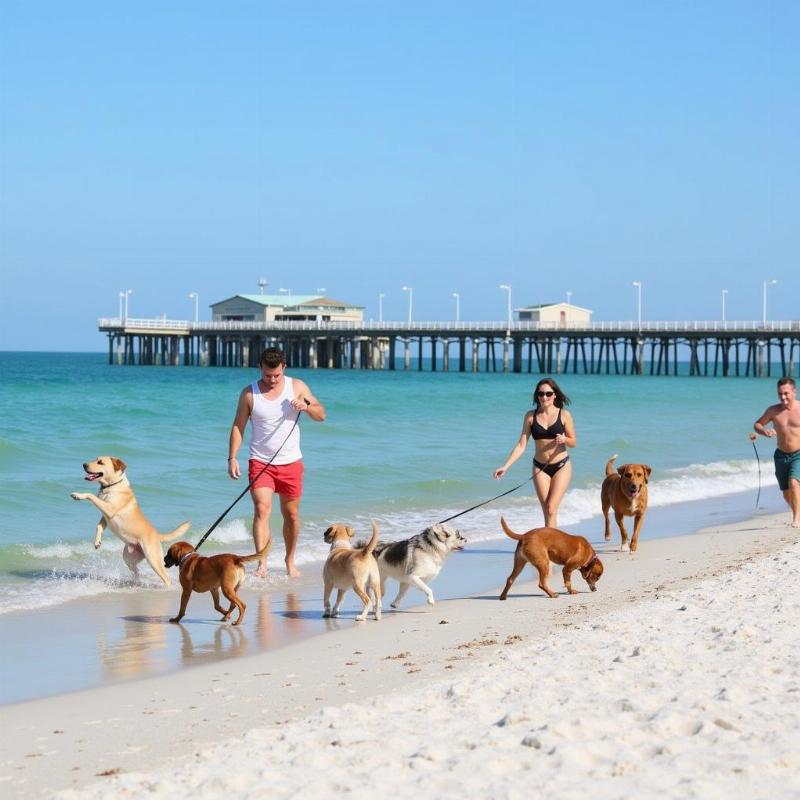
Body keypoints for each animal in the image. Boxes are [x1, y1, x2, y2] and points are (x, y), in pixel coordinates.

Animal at [69, 456, 191, 588]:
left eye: (100, 462)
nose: (84, 464)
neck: (112, 486)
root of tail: (157, 535)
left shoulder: (109, 509)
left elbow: (91, 496)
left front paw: (77, 495)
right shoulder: (105, 517)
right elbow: (99, 526)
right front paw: (97, 542)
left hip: (153, 559)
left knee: (166, 577)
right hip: (128, 558)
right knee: (136, 571)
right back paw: (135, 582)